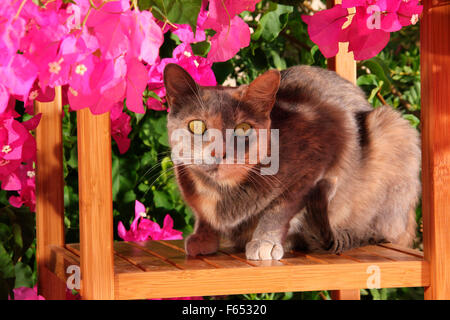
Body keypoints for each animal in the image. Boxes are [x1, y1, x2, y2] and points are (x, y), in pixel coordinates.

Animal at [163, 62, 420, 260]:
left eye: (243, 128)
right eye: (197, 126)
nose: (219, 152)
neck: (222, 191)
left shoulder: (321, 152)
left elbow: (280, 207)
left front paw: (265, 242)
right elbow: (203, 216)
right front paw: (202, 238)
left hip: (391, 128)